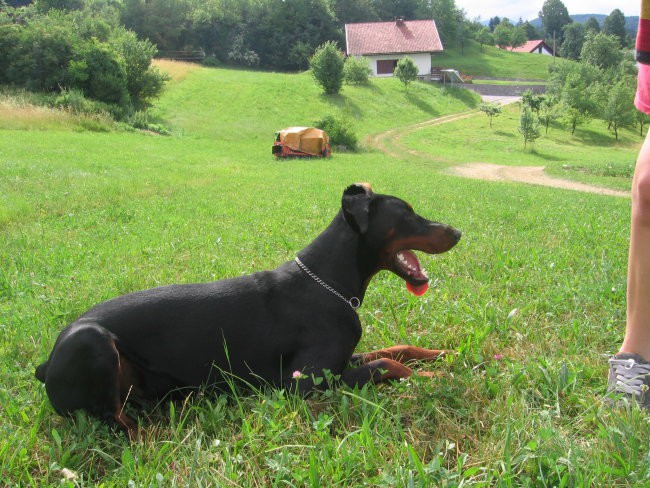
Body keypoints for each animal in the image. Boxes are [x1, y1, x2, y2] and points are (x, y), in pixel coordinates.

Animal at [35, 185, 458, 436]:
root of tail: (45, 364)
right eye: (408, 214)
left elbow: (395, 350)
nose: (457, 232)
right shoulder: (302, 381)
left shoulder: (339, 360)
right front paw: (434, 378)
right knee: (114, 421)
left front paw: (442, 355)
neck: (327, 282)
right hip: (91, 340)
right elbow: (387, 364)